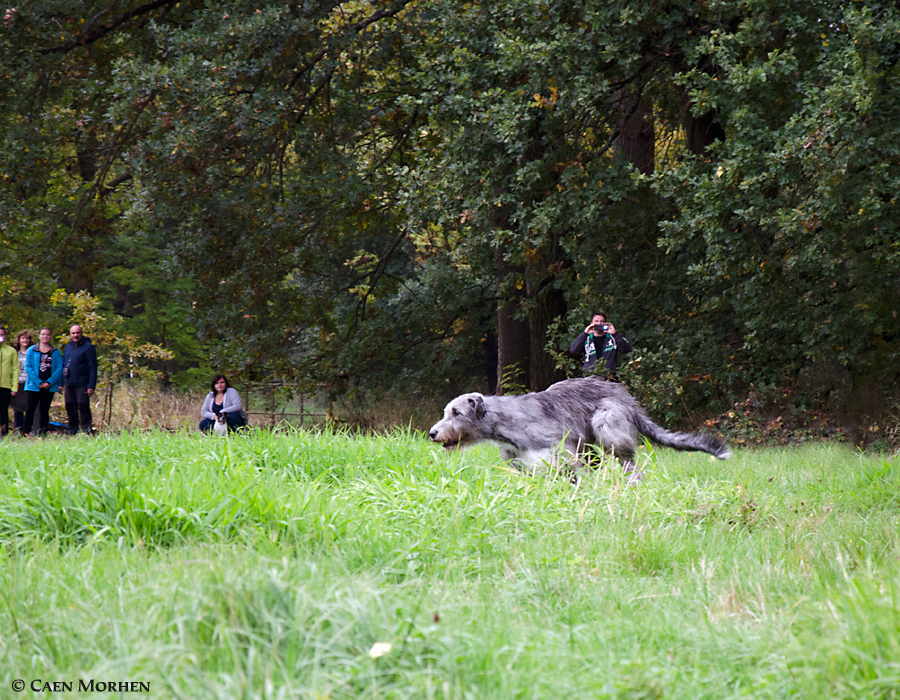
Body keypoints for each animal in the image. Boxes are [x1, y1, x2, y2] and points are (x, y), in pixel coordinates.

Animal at [428, 378, 732, 482]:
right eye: (446, 412)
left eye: (456, 412)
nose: (432, 433)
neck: (505, 422)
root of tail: (628, 399)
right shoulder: (519, 459)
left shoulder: (557, 450)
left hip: (606, 423)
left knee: (629, 463)